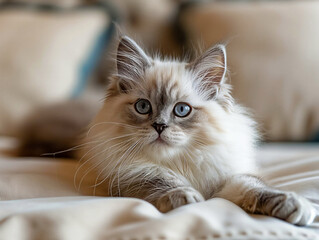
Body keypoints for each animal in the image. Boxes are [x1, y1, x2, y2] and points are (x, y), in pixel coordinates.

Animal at [80, 36, 318, 226]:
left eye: (182, 110)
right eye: (143, 107)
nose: (159, 126)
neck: (179, 162)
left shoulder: (227, 178)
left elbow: (255, 187)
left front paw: (294, 205)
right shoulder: (132, 175)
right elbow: (162, 182)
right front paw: (187, 198)